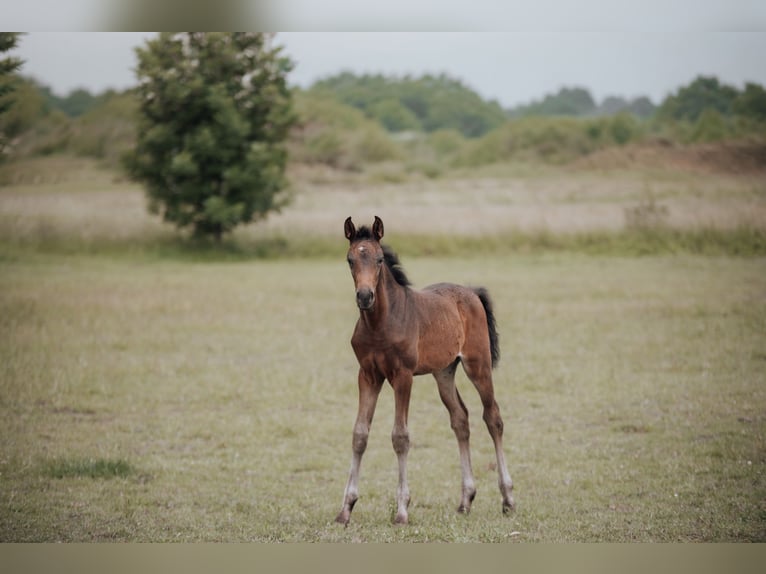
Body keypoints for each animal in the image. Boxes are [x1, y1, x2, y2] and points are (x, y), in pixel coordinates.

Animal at [335, 216, 515, 525]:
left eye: (380, 259)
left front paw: (402, 510)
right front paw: (346, 509)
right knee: (460, 419)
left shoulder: (402, 376)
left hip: (478, 365)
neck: (380, 322)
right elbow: (359, 435)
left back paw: (508, 499)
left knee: (493, 418)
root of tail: (471, 292)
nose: (365, 296)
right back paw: (465, 500)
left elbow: (400, 437)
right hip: (444, 372)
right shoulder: (368, 375)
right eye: (350, 260)